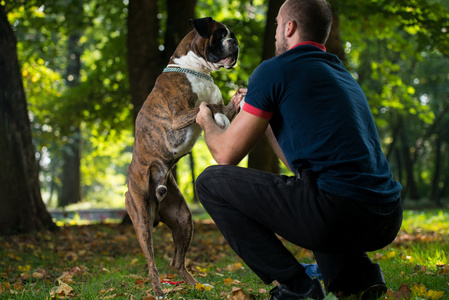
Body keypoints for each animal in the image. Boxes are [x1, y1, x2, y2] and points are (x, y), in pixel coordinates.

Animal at [124, 17, 238, 298]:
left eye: (231, 34)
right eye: (220, 34)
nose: (235, 41)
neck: (198, 71)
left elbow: (223, 106)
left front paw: (237, 99)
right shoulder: (178, 116)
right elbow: (206, 106)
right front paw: (219, 116)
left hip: (184, 220)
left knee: (176, 262)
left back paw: (198, 285)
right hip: (141, 219)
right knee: (151, 263)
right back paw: (158, 290)